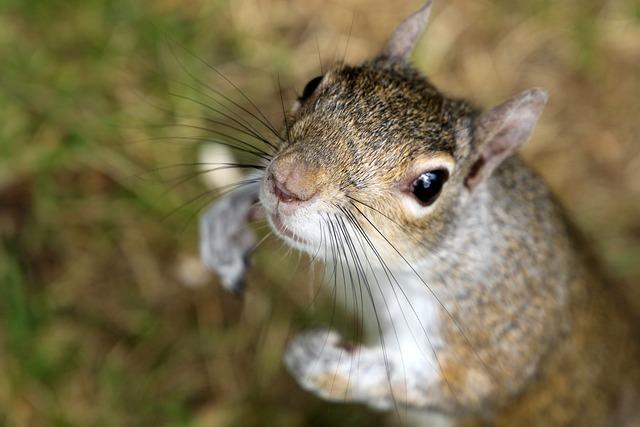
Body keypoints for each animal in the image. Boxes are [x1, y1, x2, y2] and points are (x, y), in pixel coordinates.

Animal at [200, 1, 640, 426]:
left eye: (429, 185)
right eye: (312, 85)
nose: (287, 182)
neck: (382, 268)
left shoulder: (493, 341)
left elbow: (437, 385)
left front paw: (319, 359)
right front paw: (227, 223)